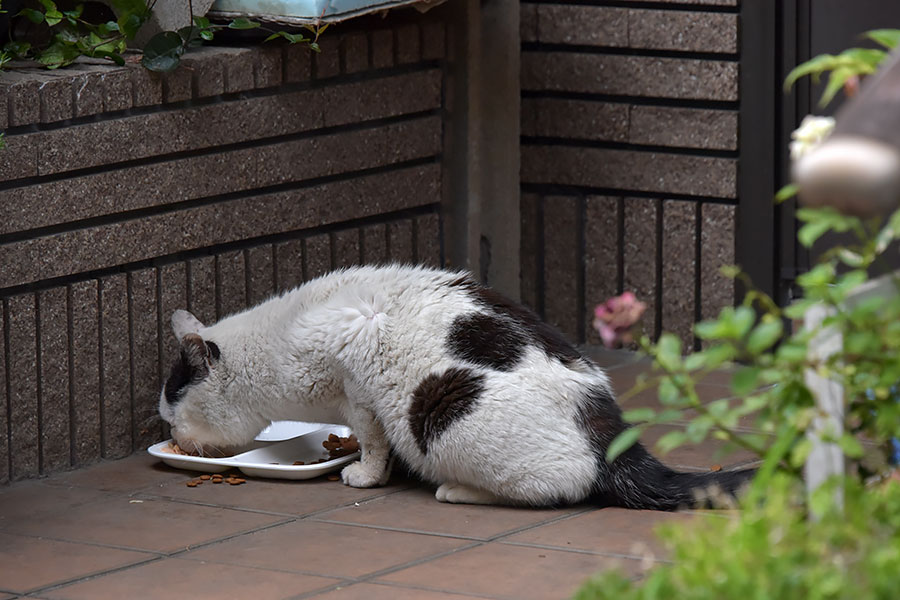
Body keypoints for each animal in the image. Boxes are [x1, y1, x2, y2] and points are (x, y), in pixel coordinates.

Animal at [156, 264, 752, 508]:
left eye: (173, 414)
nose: (175, 440)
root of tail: (615, 439)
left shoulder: (356, 379)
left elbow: (372, 442)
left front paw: (364, 475)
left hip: (446, 419)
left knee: (561, 489)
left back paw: (458, 489)